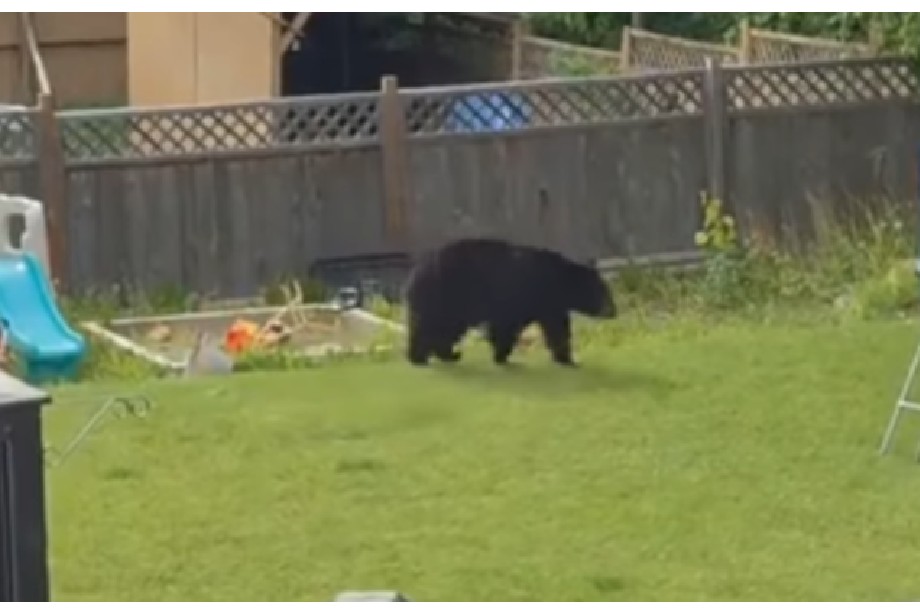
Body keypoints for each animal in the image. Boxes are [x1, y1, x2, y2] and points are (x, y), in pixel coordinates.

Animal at [402, 237, 616, 367]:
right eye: (605, 292)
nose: (613, 311)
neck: (559, 281)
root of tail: (415, 273)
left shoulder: (548, 305)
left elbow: (556, 328)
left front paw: (567, 359)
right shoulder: (523, 295)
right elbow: (507, 326)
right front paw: (502, 356)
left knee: (444, 330)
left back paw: (446, 355)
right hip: (446, 296)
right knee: (433, 327)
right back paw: (421, 358)